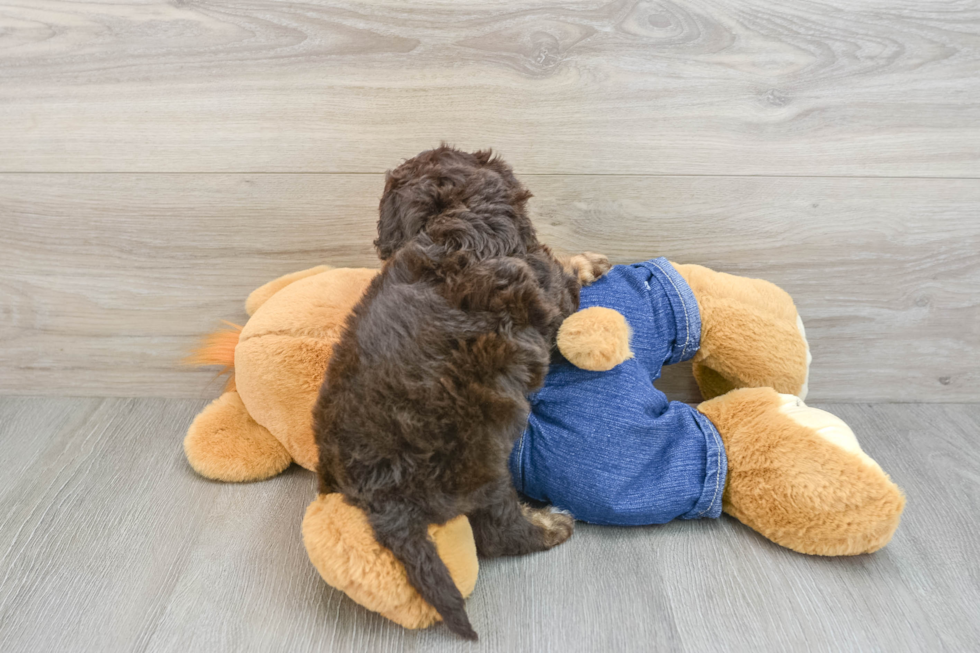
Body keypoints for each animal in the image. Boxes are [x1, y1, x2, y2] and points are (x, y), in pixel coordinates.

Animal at [314, 146, 608, 636]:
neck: (448, 220)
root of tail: (380, 496)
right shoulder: (551, 289)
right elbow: (566, 274)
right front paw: (590, 261)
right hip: (480, 462)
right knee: (498, 531)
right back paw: (549, 526)